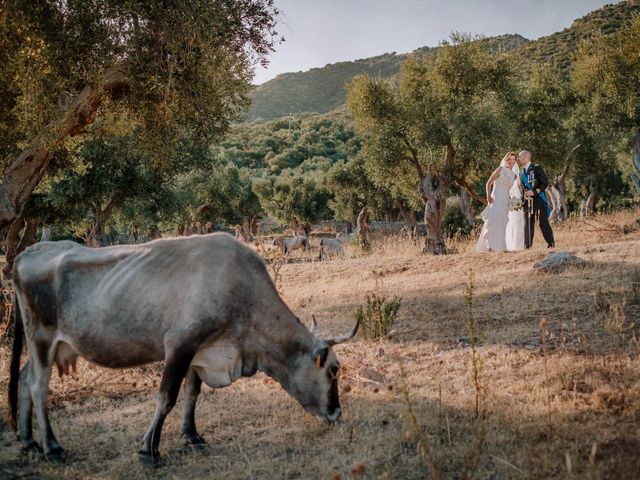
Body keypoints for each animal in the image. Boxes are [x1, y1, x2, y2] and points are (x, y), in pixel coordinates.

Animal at [8, 234, 360, 464]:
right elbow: (167, 397)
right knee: (38, 385)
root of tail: (26, 254)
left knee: (24, 379)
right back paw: (51, 447)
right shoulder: (179, 345)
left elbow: (192, 394)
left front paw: (192, 436)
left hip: (47, 345)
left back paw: (28, 441)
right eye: (333, 370)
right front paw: (149, 449)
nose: (337, 412)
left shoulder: (200, 351)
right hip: (42, 338)